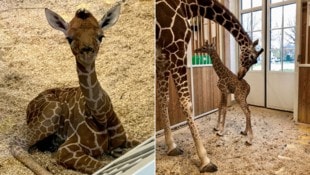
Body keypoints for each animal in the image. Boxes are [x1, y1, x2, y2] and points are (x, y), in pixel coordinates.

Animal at [10, 2, 138, 175]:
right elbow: (102, 167)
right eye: (69, 38)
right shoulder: (67, 149)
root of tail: (31, 104)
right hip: (52, 111)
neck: (101, 115)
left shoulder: (123, 140)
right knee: (18, 145)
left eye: (101, 36)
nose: (87, 51)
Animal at [156, 0, 262, 172]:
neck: (188, 6)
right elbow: (210, 106)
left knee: (247, 111)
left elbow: (169, 100)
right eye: (253, 58)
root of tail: (249, 87)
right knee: (247, 111)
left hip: (239, 97)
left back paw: (249, 137)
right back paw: (246, 133)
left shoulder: (166, 56)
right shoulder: (173, 52)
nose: (239, 76)